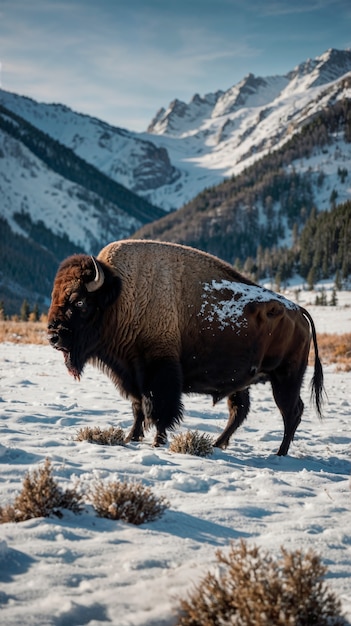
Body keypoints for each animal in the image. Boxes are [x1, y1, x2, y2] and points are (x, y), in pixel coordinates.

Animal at [46, 239, 324, 454]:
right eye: (54, 296)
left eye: (79, 301)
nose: (52, 336)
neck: (121, 296)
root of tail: (298, 311)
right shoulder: (131, 374)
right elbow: (138, 409)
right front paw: (131, 438)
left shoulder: (158, 372)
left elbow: (158, 410)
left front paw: (157, 442)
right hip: (245, 382)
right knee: (240, 411)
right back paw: (217, 444)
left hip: (286, 377)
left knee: (291, 412)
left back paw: (279, 453)